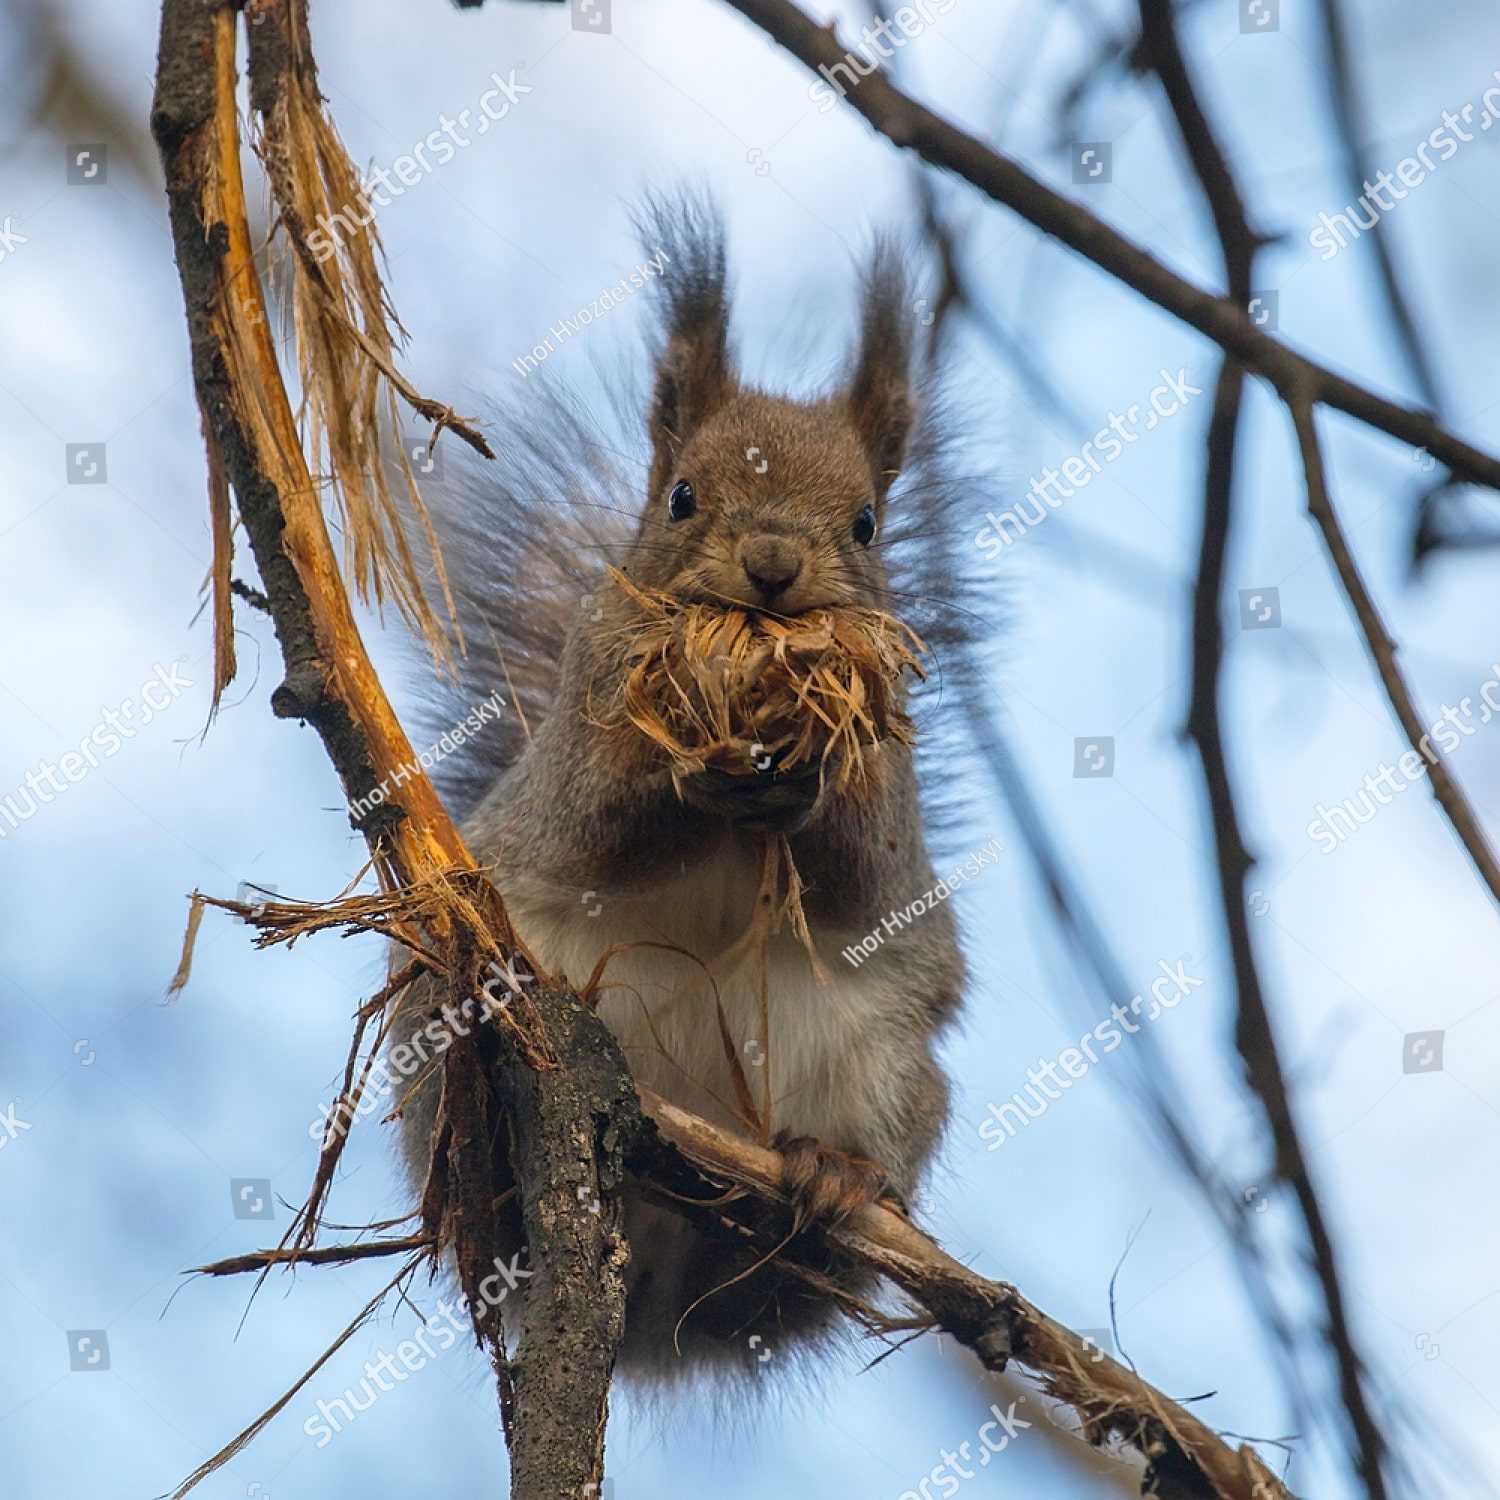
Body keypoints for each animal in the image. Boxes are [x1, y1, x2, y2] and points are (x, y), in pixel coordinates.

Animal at [391, 194, 974, 1383]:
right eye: (682, 495)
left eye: (866, 523)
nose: (772, 565)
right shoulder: (580, 730)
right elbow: (597, 823)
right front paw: (691, 776)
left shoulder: (889, 764)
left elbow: (863, 868)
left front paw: (797, 792)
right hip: (447, 1022)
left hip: (889, 1067)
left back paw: (828, 1186)